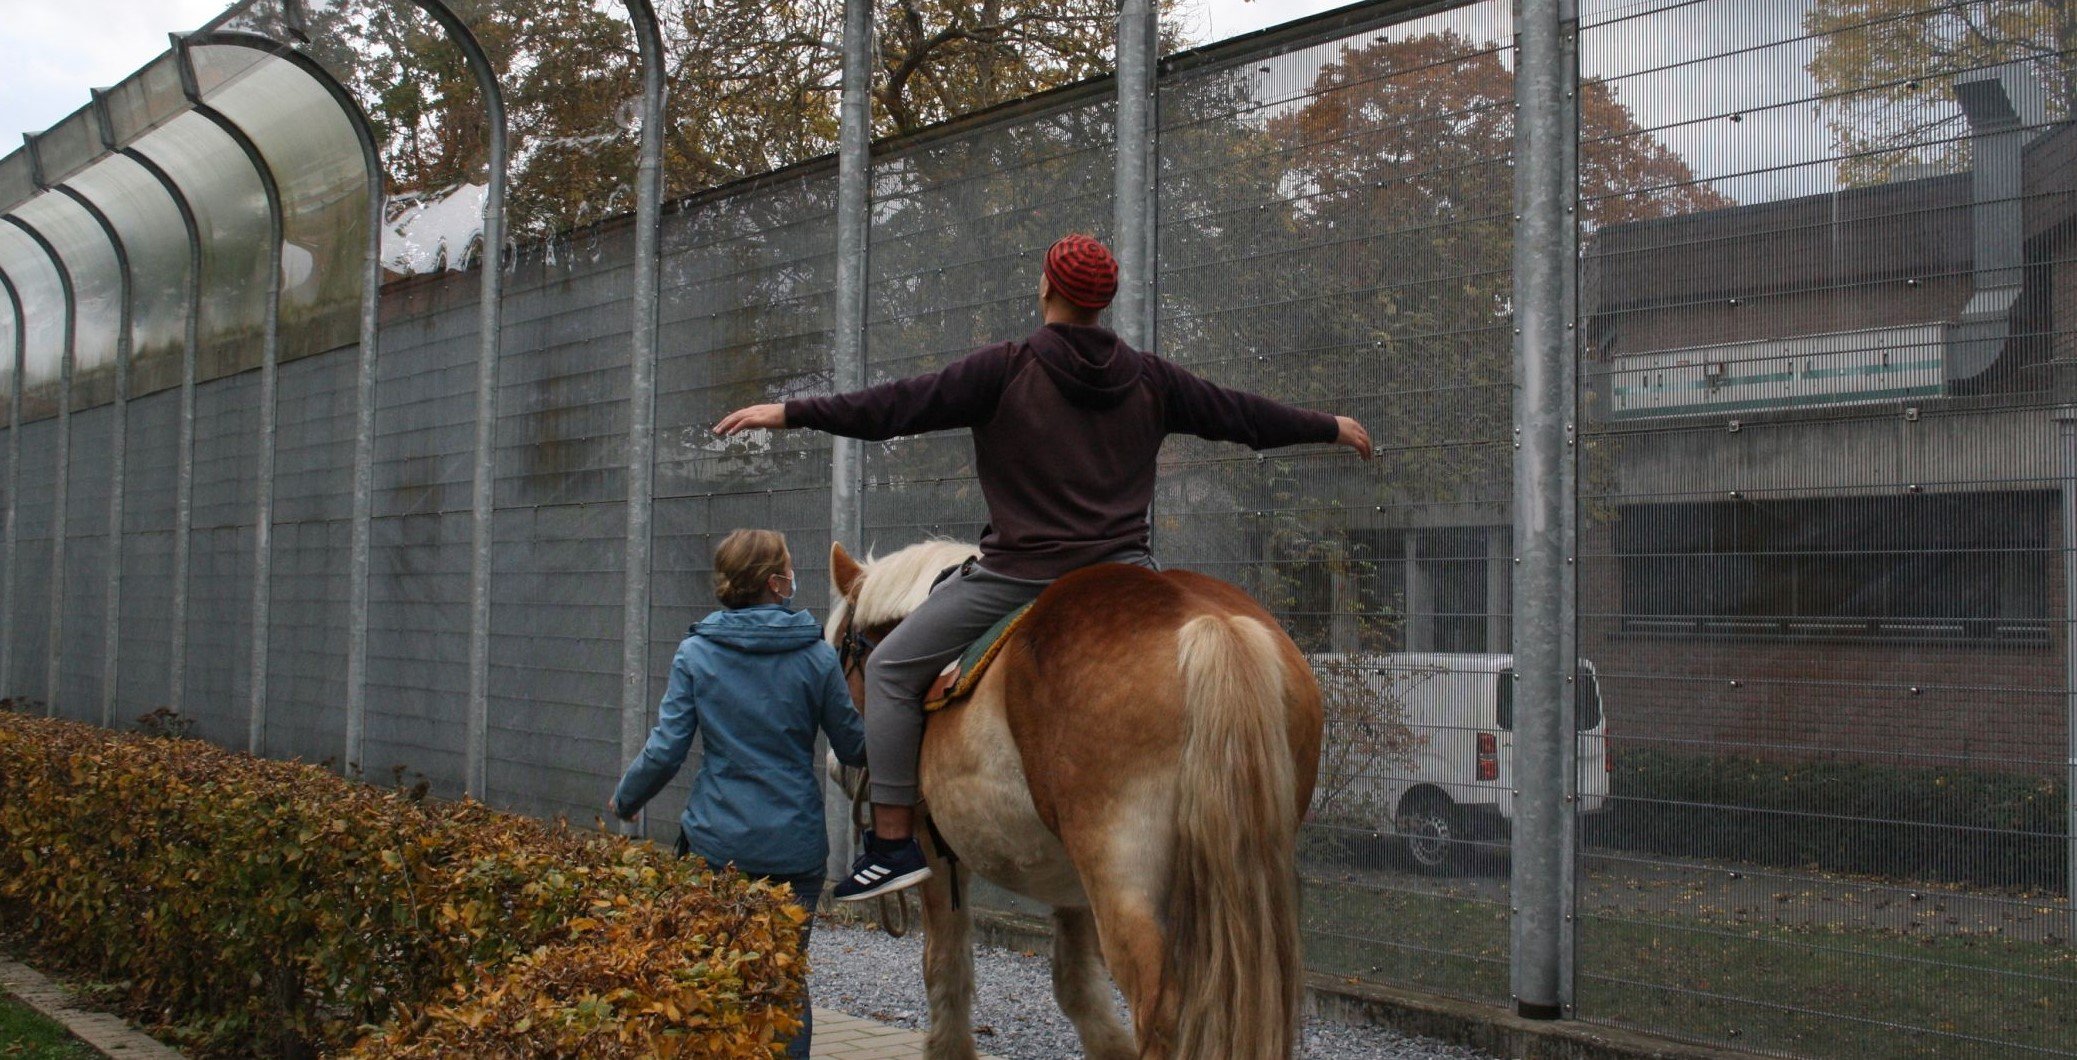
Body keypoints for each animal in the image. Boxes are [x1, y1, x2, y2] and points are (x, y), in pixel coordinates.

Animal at [822, 540, 1320, 1060]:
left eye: (839, 652)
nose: (837, 767)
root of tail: (1208, 624)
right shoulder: (1074, 884)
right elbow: (1077, 984)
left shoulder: (936, 852)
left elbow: (945, 965)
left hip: (1121, 874)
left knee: (1161, 1010)